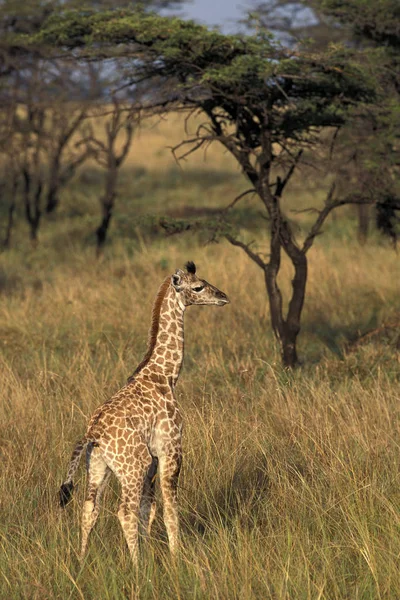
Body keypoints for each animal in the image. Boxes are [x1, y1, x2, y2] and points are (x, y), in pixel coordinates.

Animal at [57, 262, 230, 564]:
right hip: (132, 467)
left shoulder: (153, 460)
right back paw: (136, 567)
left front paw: (151, 553)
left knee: (90, 509)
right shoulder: (170, 449)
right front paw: (175, 558)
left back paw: (81, 561)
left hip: (98, 467)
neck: (165, 375)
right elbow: (169, 509)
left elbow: (148, 510)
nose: (223, 297)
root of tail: (93, 434)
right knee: (124, 511)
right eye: (198, 287)